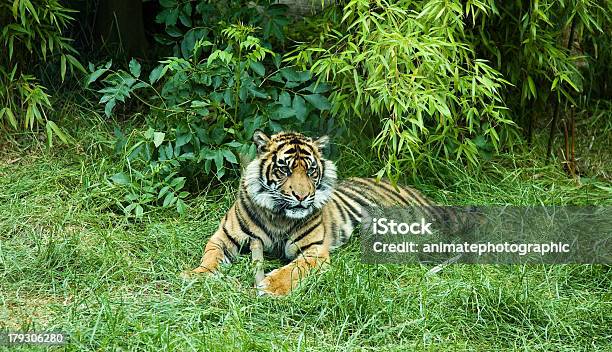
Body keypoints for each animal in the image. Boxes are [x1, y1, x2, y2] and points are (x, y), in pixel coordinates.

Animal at [184, 129, 438, 294]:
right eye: (284, 170)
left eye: (311, 171)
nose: (302, 196)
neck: (278, 216)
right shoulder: (222, 238)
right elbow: (210, 258)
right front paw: (195, 275)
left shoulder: (313, 251)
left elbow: (292, 270)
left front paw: (270, 286)